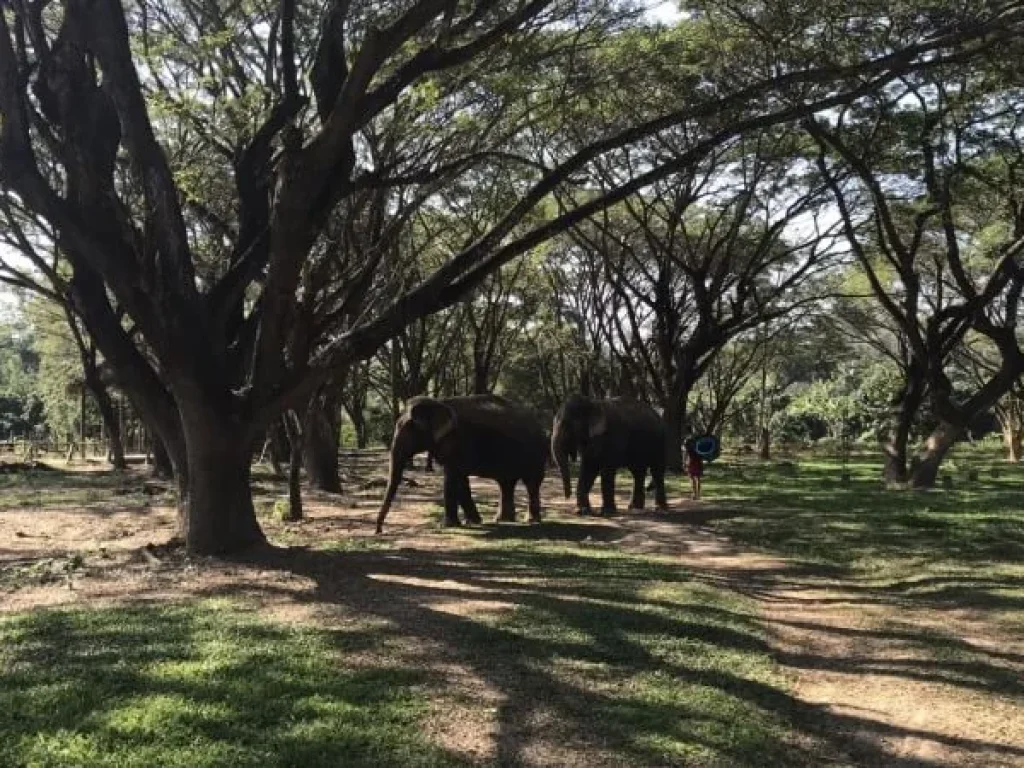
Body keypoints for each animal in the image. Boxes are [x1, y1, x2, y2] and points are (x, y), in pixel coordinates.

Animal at [376, 397, 548, 536]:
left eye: (410, 429)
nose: (379, 531)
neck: (439, 403)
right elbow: (461, 480)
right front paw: (473, 522)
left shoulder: (458, 441)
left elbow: (452, 478)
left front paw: (448, 525)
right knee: (506, 483)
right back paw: (502, 520)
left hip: (536, 454)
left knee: (531, 483)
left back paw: (531, 521)